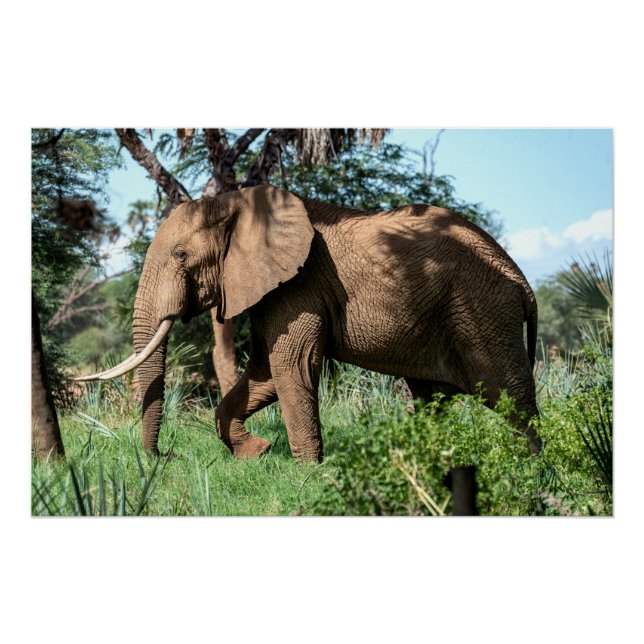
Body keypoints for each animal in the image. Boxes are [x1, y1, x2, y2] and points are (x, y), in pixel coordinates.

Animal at [77, 185, 540, 461]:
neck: (237, 201)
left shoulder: (299, 285)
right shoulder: (272, 289)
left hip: (483, 310)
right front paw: (257, 453)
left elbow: (292, 367)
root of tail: (522, 279)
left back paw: (532, 471)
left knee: (510, 395)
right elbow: (264, 373)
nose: (166, 457)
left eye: (180, 256)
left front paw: (309, 473)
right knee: (433, 398)